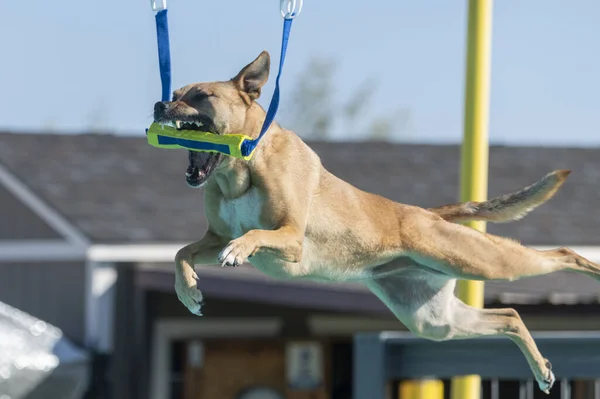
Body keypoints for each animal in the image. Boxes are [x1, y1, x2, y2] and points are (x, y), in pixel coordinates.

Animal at [152, 50, 596, 394]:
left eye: (202, 96)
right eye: (174, 93)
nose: (159, 106)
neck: (238, 169)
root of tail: (428, 214)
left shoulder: (291, 237)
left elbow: (254, 234)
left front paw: (237, 252)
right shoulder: (213, 236)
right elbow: (181, 253)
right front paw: (189, 291)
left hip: (480, 261)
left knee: (561, 254)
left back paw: (590, 271)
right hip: (434, 320)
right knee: (510, 316)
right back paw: (542, 369)